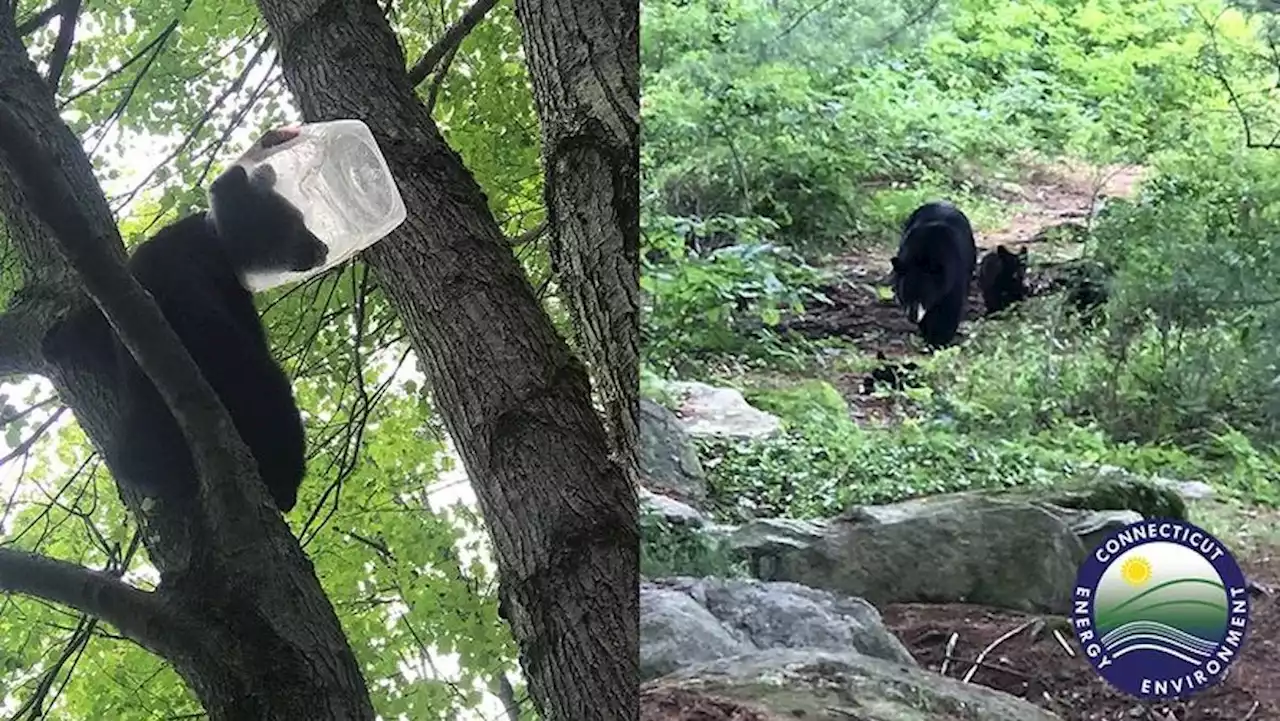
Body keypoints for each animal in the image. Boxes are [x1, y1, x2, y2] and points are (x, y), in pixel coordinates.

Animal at [44, 129, 327, 512]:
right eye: (294, 219)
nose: (322, 247)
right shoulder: (213, 286)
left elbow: (92, 329)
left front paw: (59, 339)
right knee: (268, 391)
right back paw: (283, 480)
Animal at [890, 202, 977, 348]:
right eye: (905, 295)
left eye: (924, 295)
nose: (912, 317)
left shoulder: (953, 276)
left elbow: (950, 310)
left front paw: (940, 340)